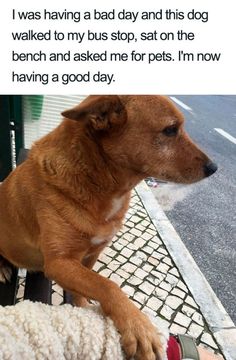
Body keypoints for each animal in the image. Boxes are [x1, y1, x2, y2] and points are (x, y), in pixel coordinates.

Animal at [0, 96, 217, 360]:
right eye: (170, 129)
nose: (214, 167)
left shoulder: (91, 254)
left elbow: (89, 286)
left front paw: (83, 308)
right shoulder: (59, 262)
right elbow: (108, 285)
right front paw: (139, 326)